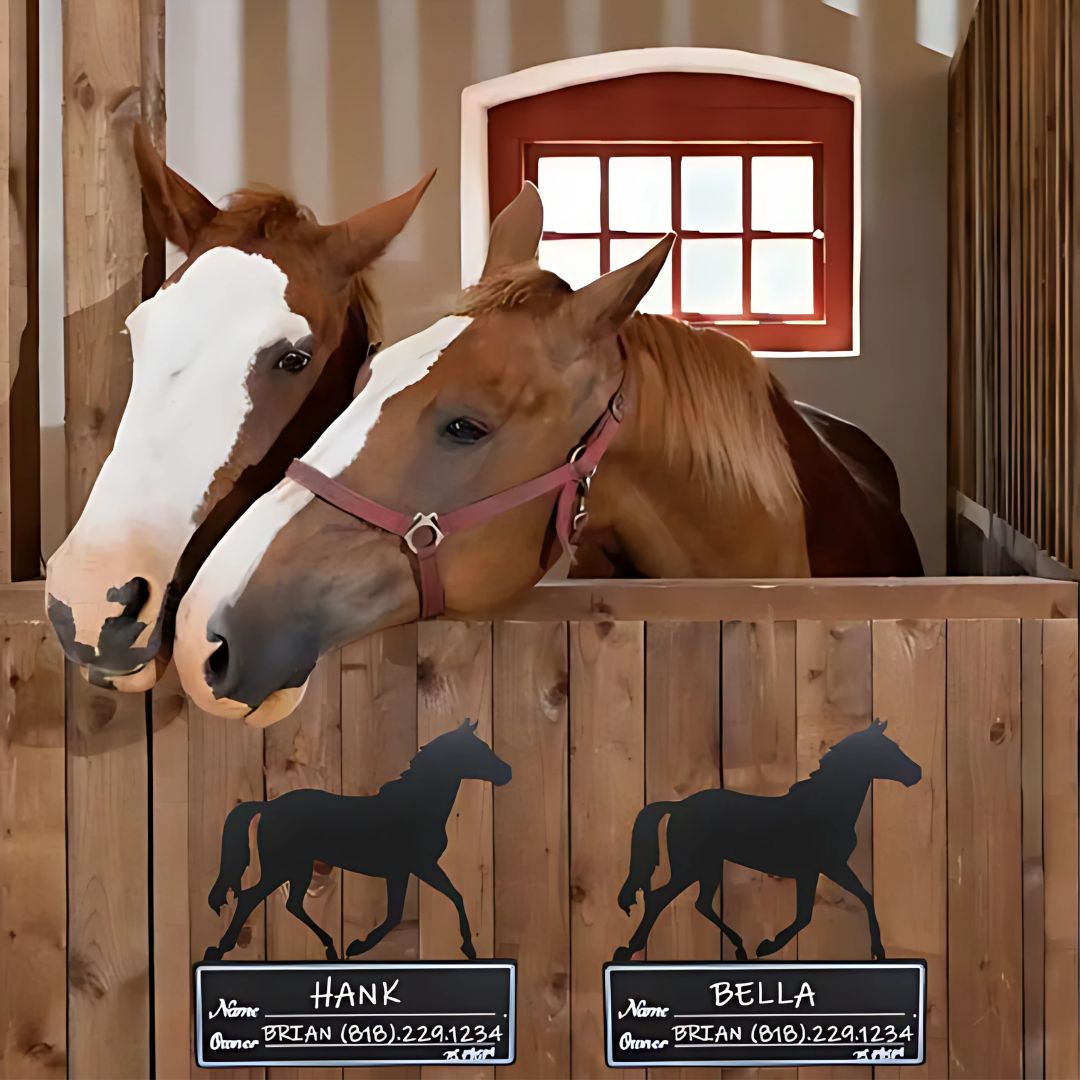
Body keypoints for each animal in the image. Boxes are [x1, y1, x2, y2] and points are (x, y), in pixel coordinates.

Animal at [202, 719, 511, 962]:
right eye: (478, 750)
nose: (506, 773)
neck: (416, 806)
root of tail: (268, 807)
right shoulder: (417, 866)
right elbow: (436, 902)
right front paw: (359, 946)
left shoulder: (404, 870)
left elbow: (419, 906)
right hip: (282, 868)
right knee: (251, 898)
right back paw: (219, 949)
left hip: (298, 868)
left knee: (293, 904)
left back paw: (329, 947)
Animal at [613, 719, 921, 963]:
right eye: (887, 750)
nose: (916, 773)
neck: (826, 806)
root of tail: (678, 807)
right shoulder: (821, 868)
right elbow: (808, 914)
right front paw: (767, 946)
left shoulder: (823, 869)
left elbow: (859, 898)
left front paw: (878, 951)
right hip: (691, 867)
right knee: (659, 898)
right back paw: (628, 950)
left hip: (708, 866)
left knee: (701, 903)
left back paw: (739, 947)